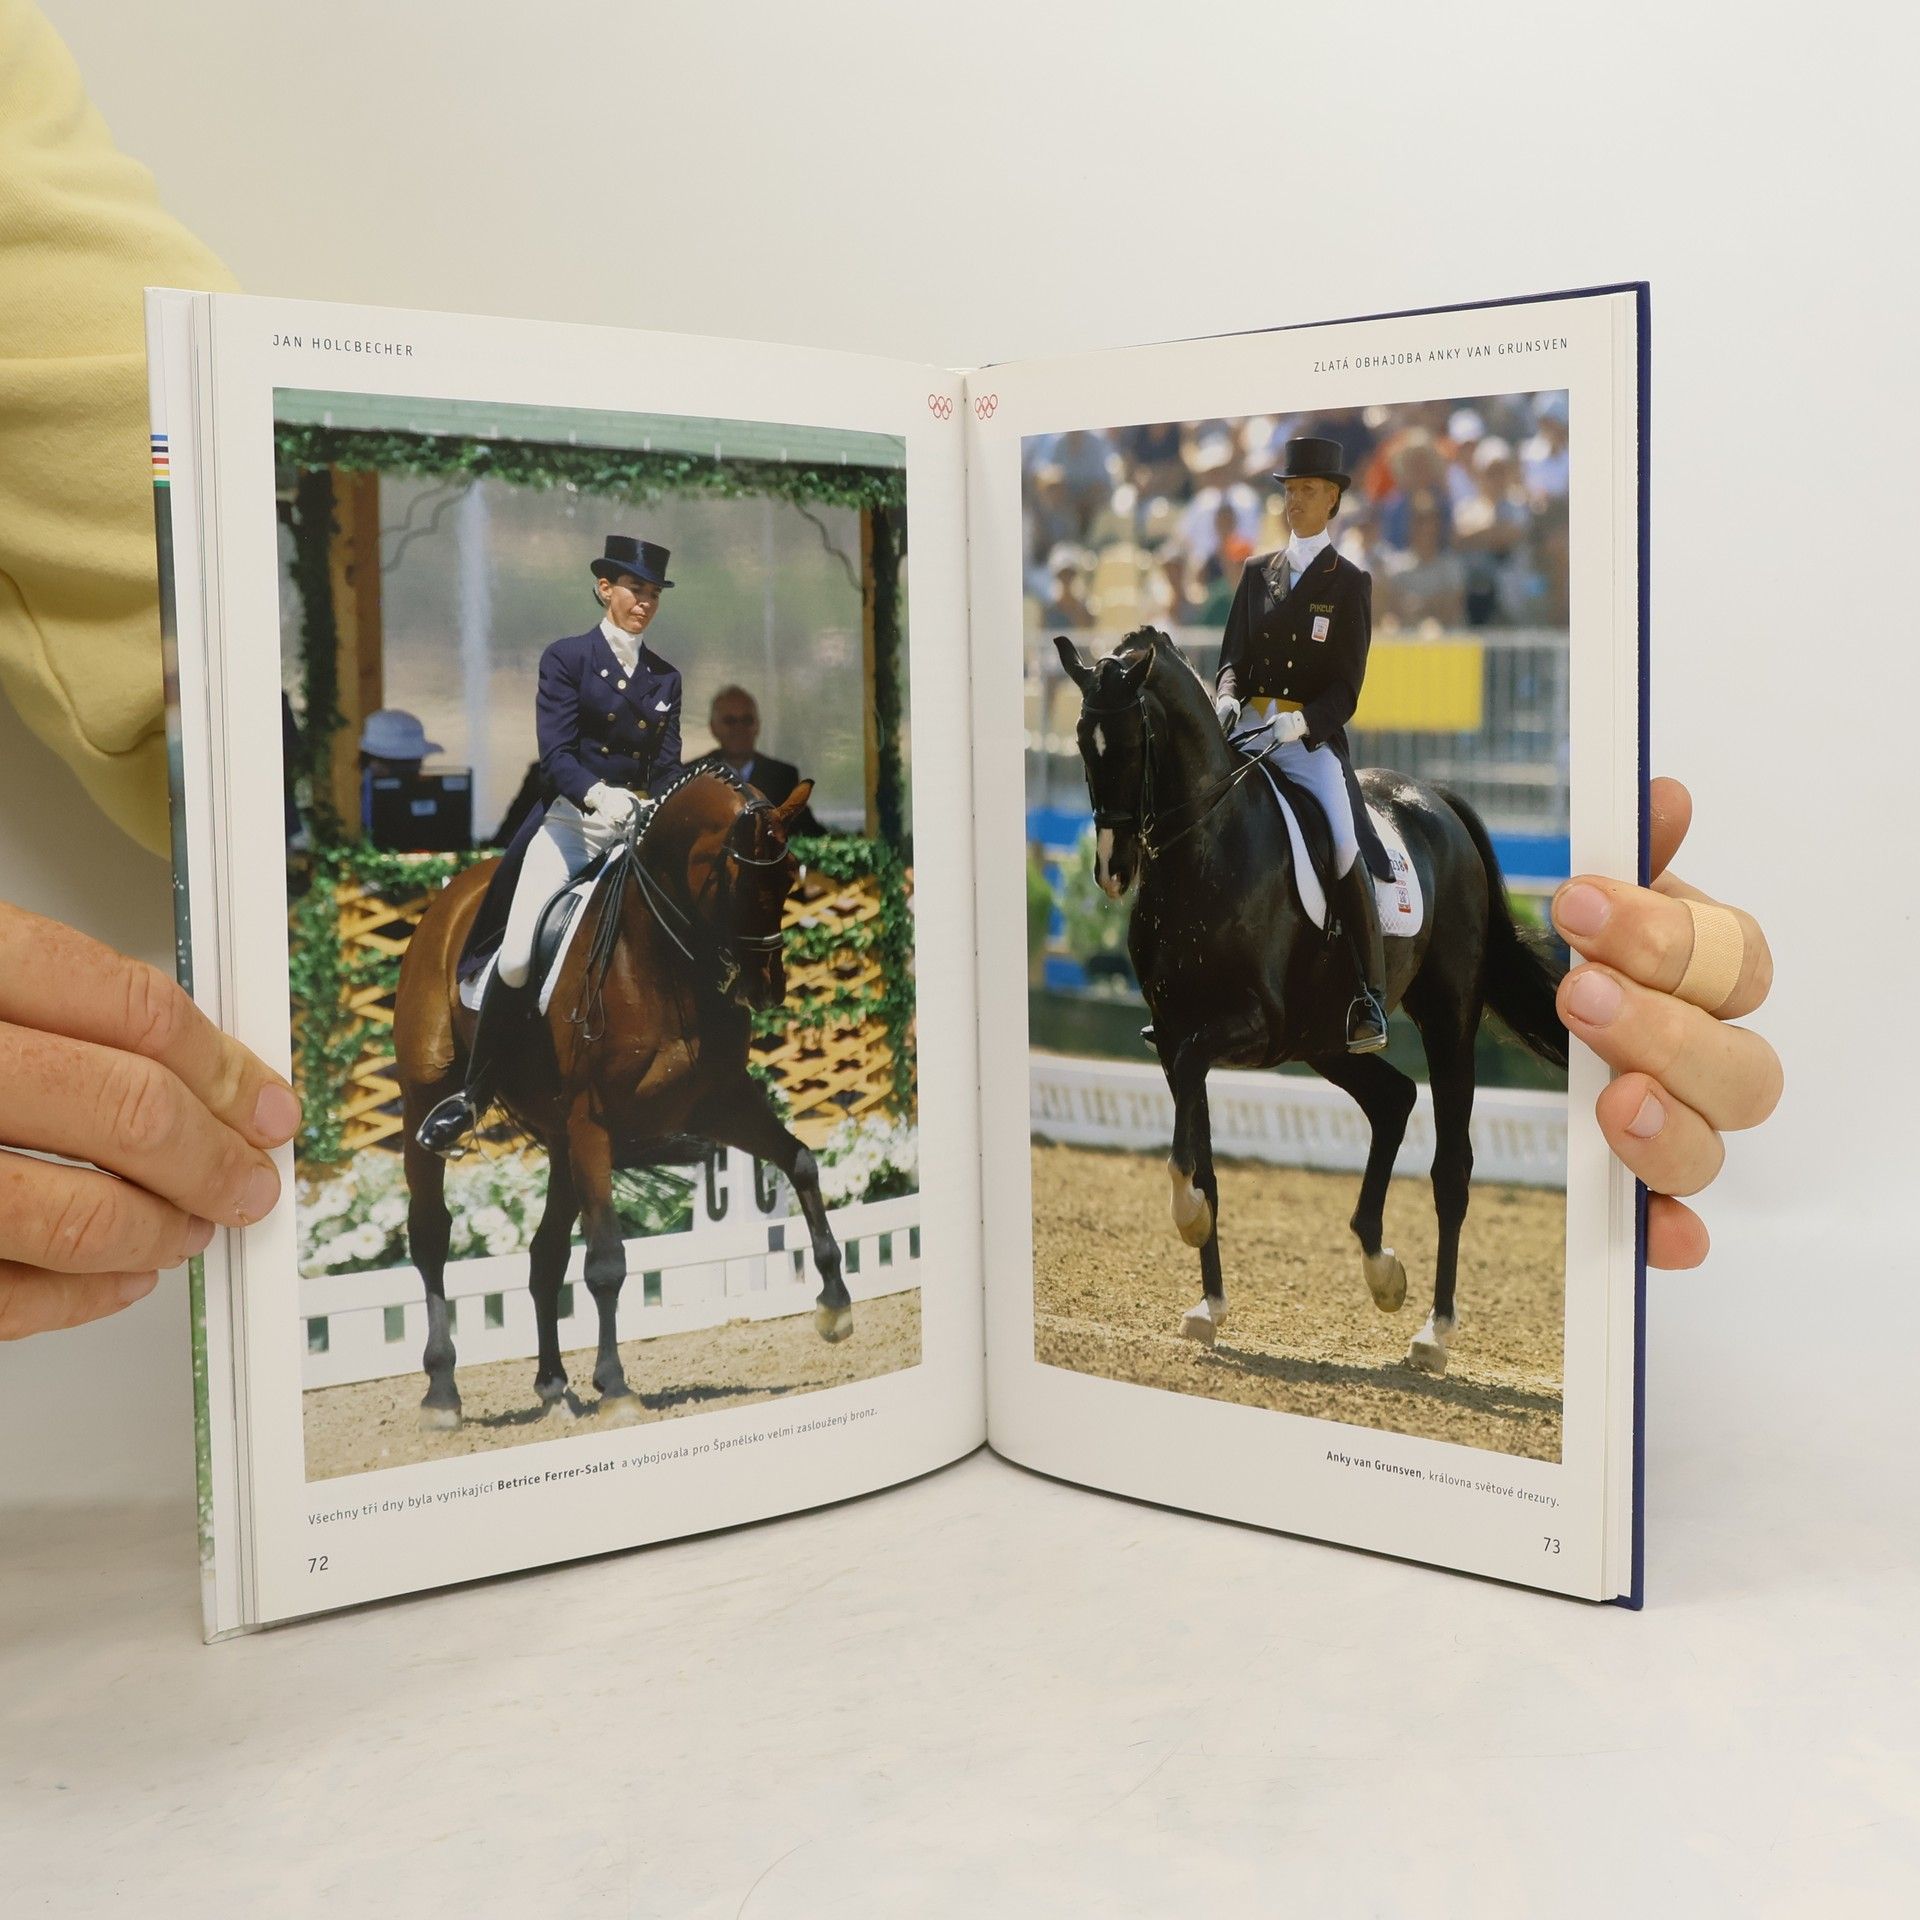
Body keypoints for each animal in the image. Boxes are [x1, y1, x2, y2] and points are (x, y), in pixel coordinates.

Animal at [391, 765, 852, 1430]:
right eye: (740, 879)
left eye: (790, 877)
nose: (766, 989)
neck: (656, 959)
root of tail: (453, 897)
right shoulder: (594, 1124)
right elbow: (607, 1260)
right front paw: (616, 1388)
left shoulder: (718, 1103)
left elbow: (801, 1161)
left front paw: (835, 1305)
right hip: (429, 1104)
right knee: (432, 1236)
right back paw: (442, 1393)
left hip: (559, 1139)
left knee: (544, 1255)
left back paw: (554, 1388)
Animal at [1054, 625, 1567, 1377]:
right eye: (1081, 740)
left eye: (1133, 737)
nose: (1114, 871)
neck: (1204, 848)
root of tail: (1435, 798)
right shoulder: (1177, 1033)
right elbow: (1200, 1153)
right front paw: (1209, 1305)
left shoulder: (1246, 1029)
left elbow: (1188, 1134)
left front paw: (1188, 1219)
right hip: (1326, 1039)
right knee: (1393, 1100)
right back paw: (1383, 1272)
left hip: (1445, 1020)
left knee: (1451, 1166)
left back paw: (1434, 1333)